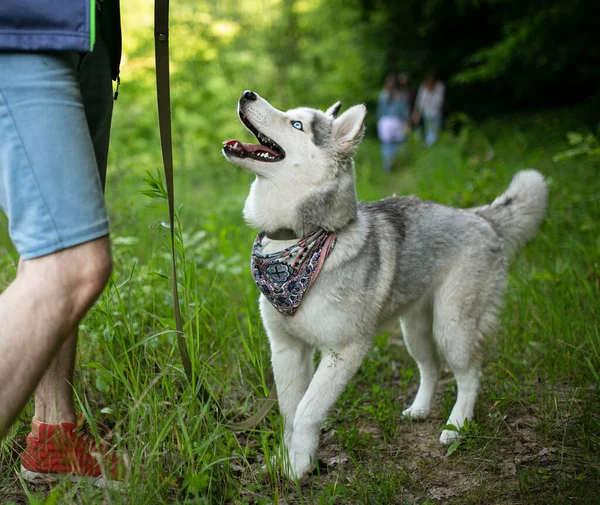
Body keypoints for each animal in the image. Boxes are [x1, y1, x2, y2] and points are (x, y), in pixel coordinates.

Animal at [223, 90, 548, 480]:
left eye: (296, 124)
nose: (247, 94)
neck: (298, 240)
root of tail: (480, 216)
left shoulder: (344, 351)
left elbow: (307, 411)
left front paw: (299, 465)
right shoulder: (287, 349)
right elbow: (289, 412)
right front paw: (284, 459)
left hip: (451, 328)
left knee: (470, 375)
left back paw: (456, 426)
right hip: (415, 331)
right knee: (431, 368)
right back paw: (421, 409)